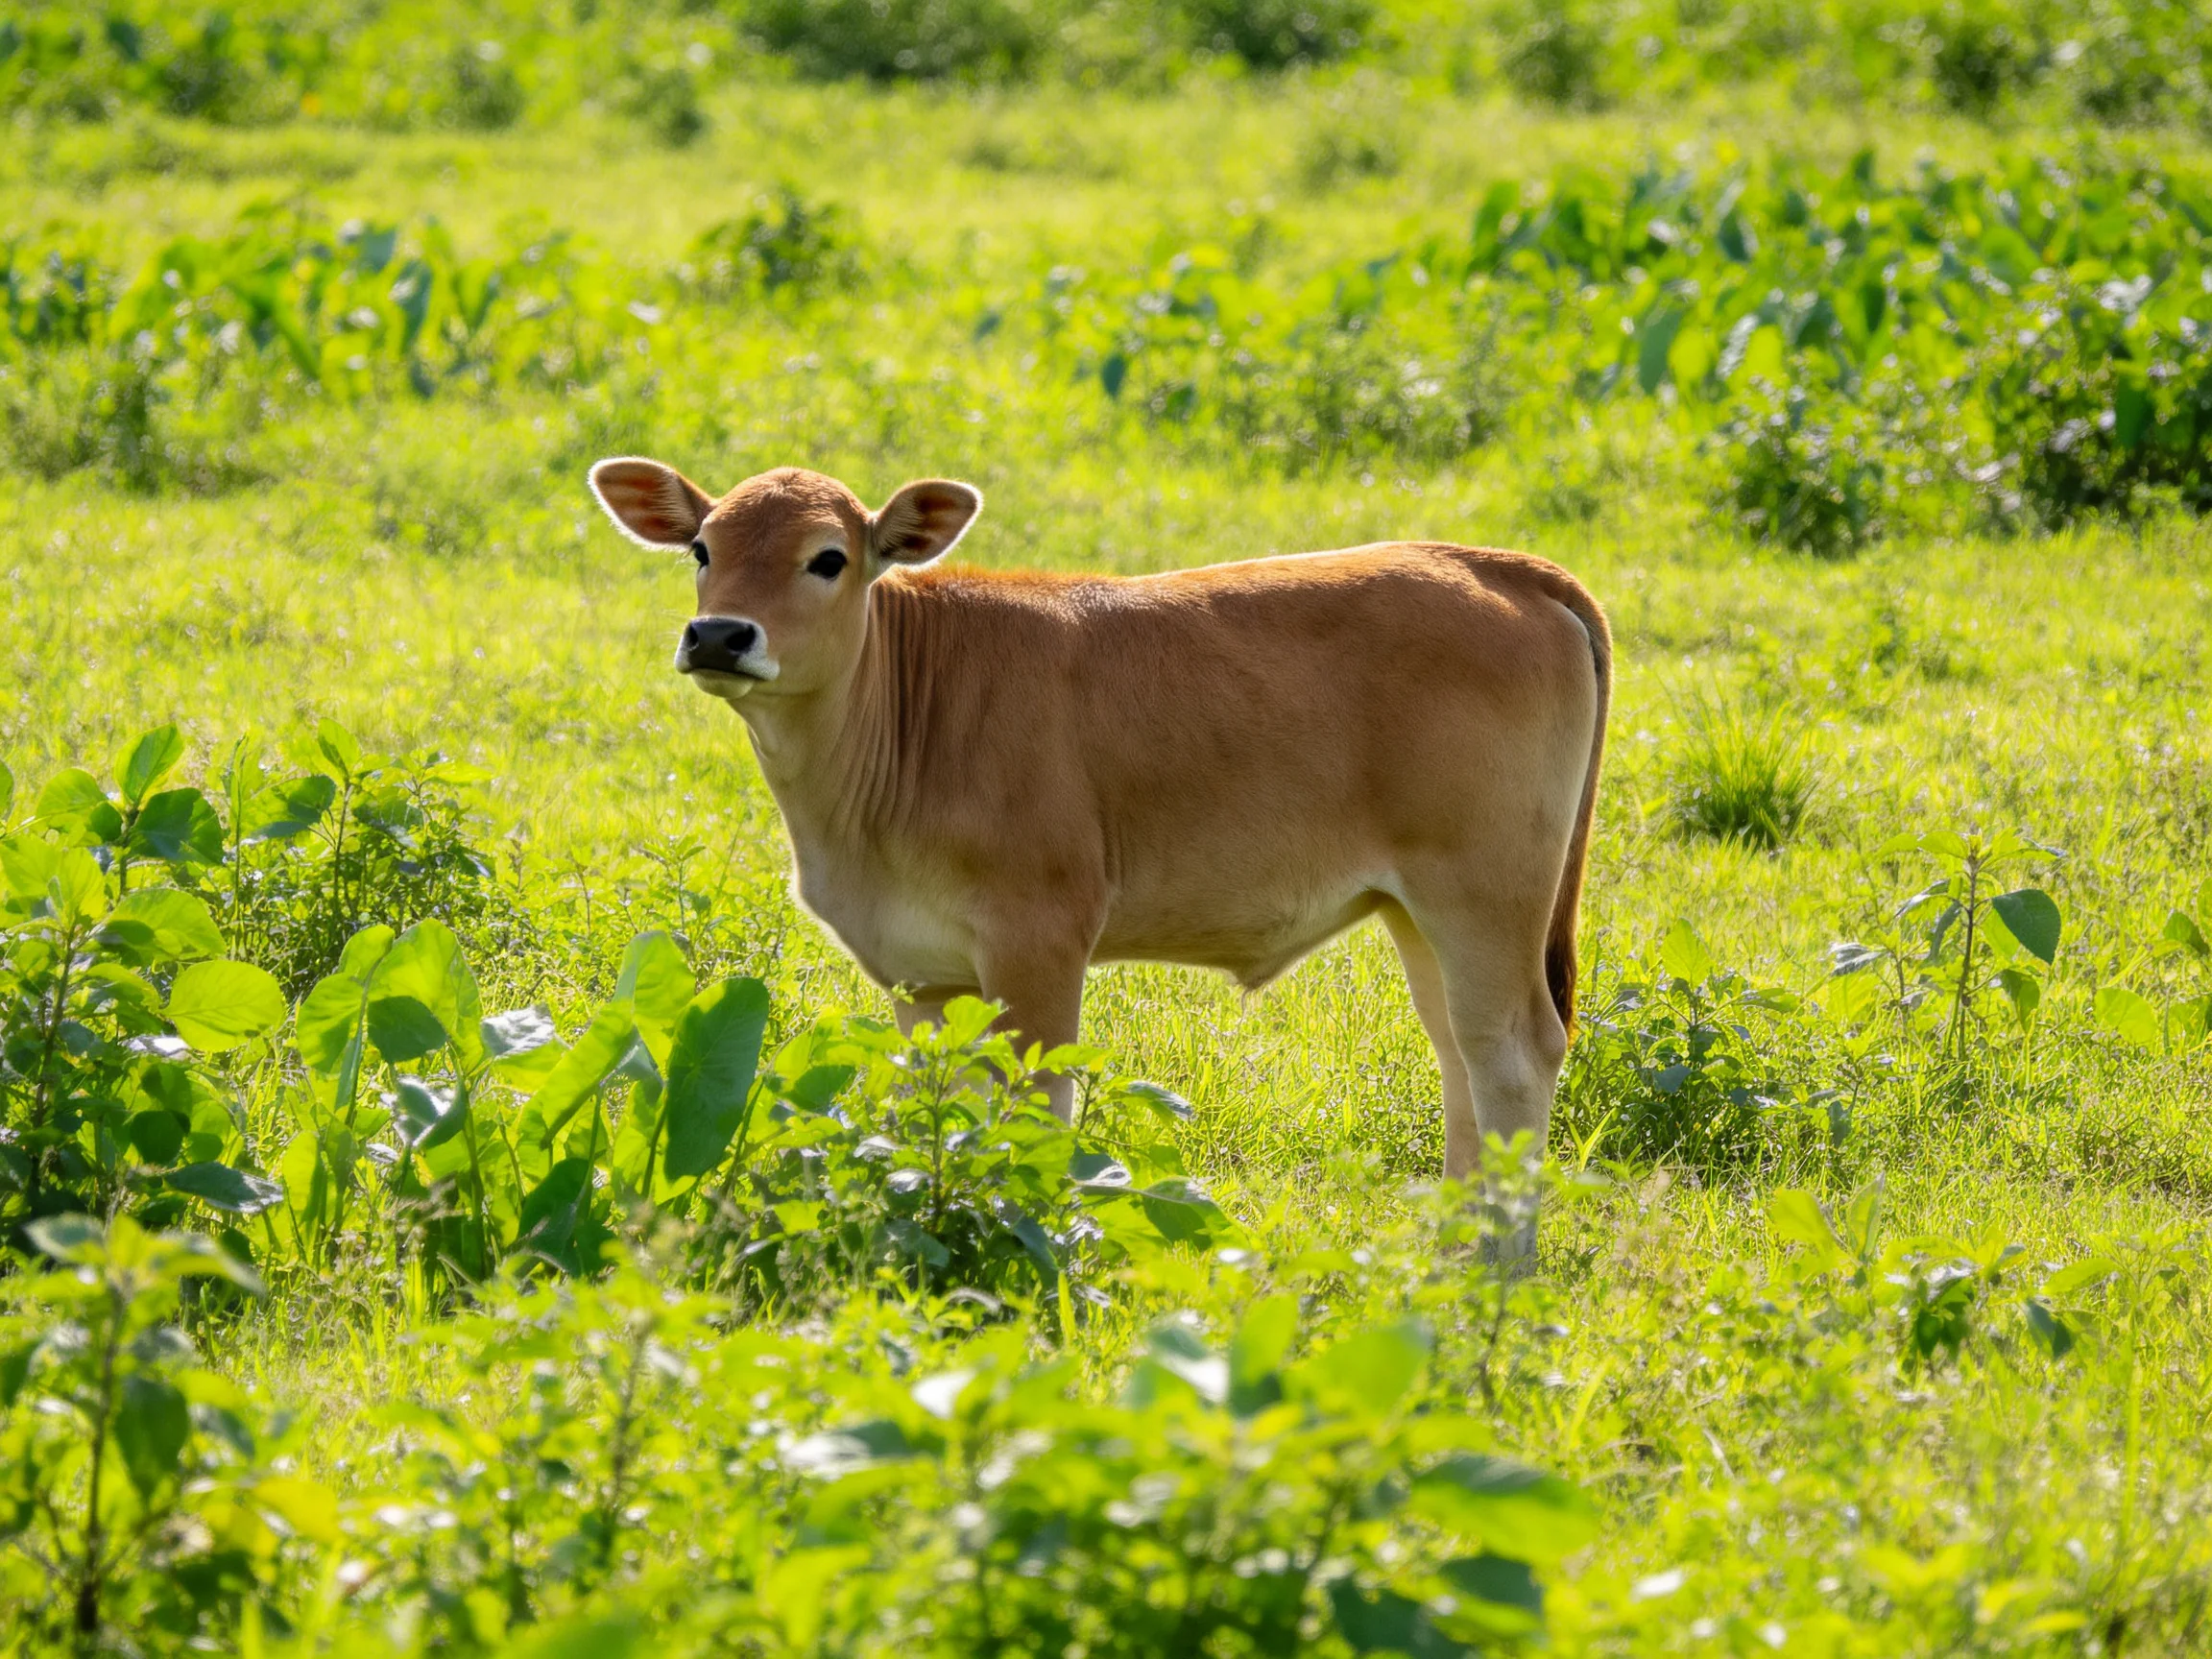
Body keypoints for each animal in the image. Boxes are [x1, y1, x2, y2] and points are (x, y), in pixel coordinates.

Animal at [590, 459, 1610, 1242]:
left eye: (828, 559)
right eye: (702, 549)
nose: (720, 634)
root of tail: (1496, 563)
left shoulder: (1039, 938)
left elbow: (1035, 1112)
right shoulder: (922, 973)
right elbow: (945, 1108)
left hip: (1484, 893)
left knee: (1513, 1055)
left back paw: (1494, 1270)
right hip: (1420, 911)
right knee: (1460, 1056)